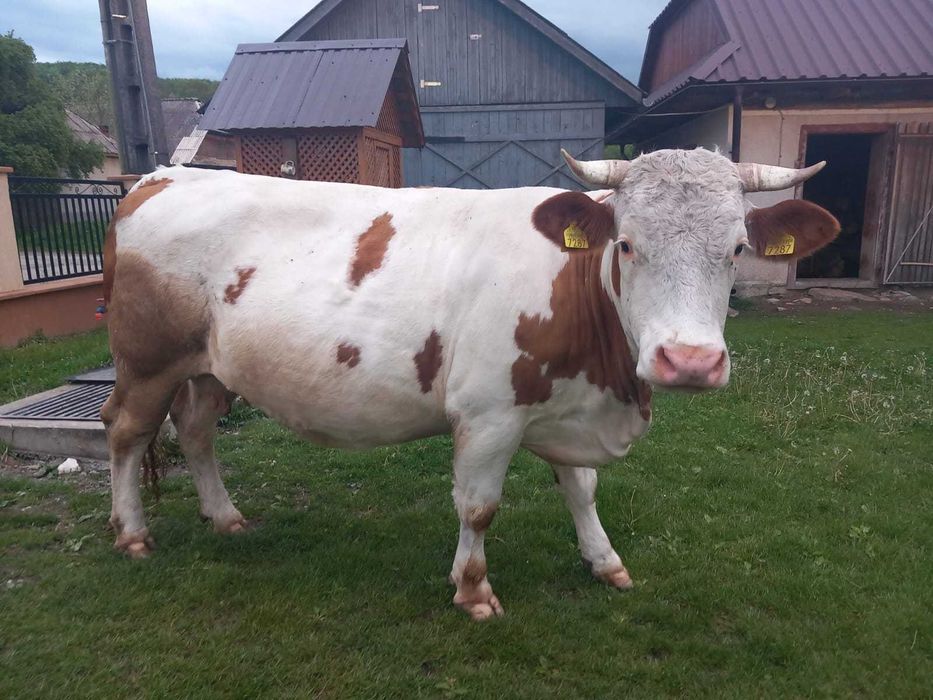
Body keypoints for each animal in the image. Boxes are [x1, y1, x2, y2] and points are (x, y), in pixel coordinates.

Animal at [101, 148, 838, 620]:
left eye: (736, 250)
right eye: (627, 244)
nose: (688, 361)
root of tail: (160, 177)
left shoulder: (562, 404)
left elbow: (582, 489)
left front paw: (603, 560)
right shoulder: (489, 415)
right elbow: (478, 508)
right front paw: (473, 591)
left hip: (208, 367)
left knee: (196, 430)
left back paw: (225, 517)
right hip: (148, 361)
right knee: (126, 432)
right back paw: (132, 534)